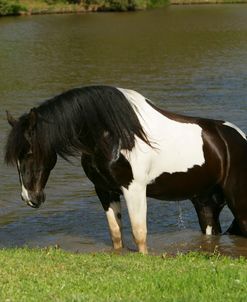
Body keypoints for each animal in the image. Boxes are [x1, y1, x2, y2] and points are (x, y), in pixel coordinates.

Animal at [4, 86, 247, 254]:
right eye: (16, 158)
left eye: (29, 153)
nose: (30, 197)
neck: (110, 136)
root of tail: (237, 138)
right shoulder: (105, 190)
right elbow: (116, 233)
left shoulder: (134, 189)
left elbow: (139, 233)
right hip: (206, 202)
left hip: (237, 203)